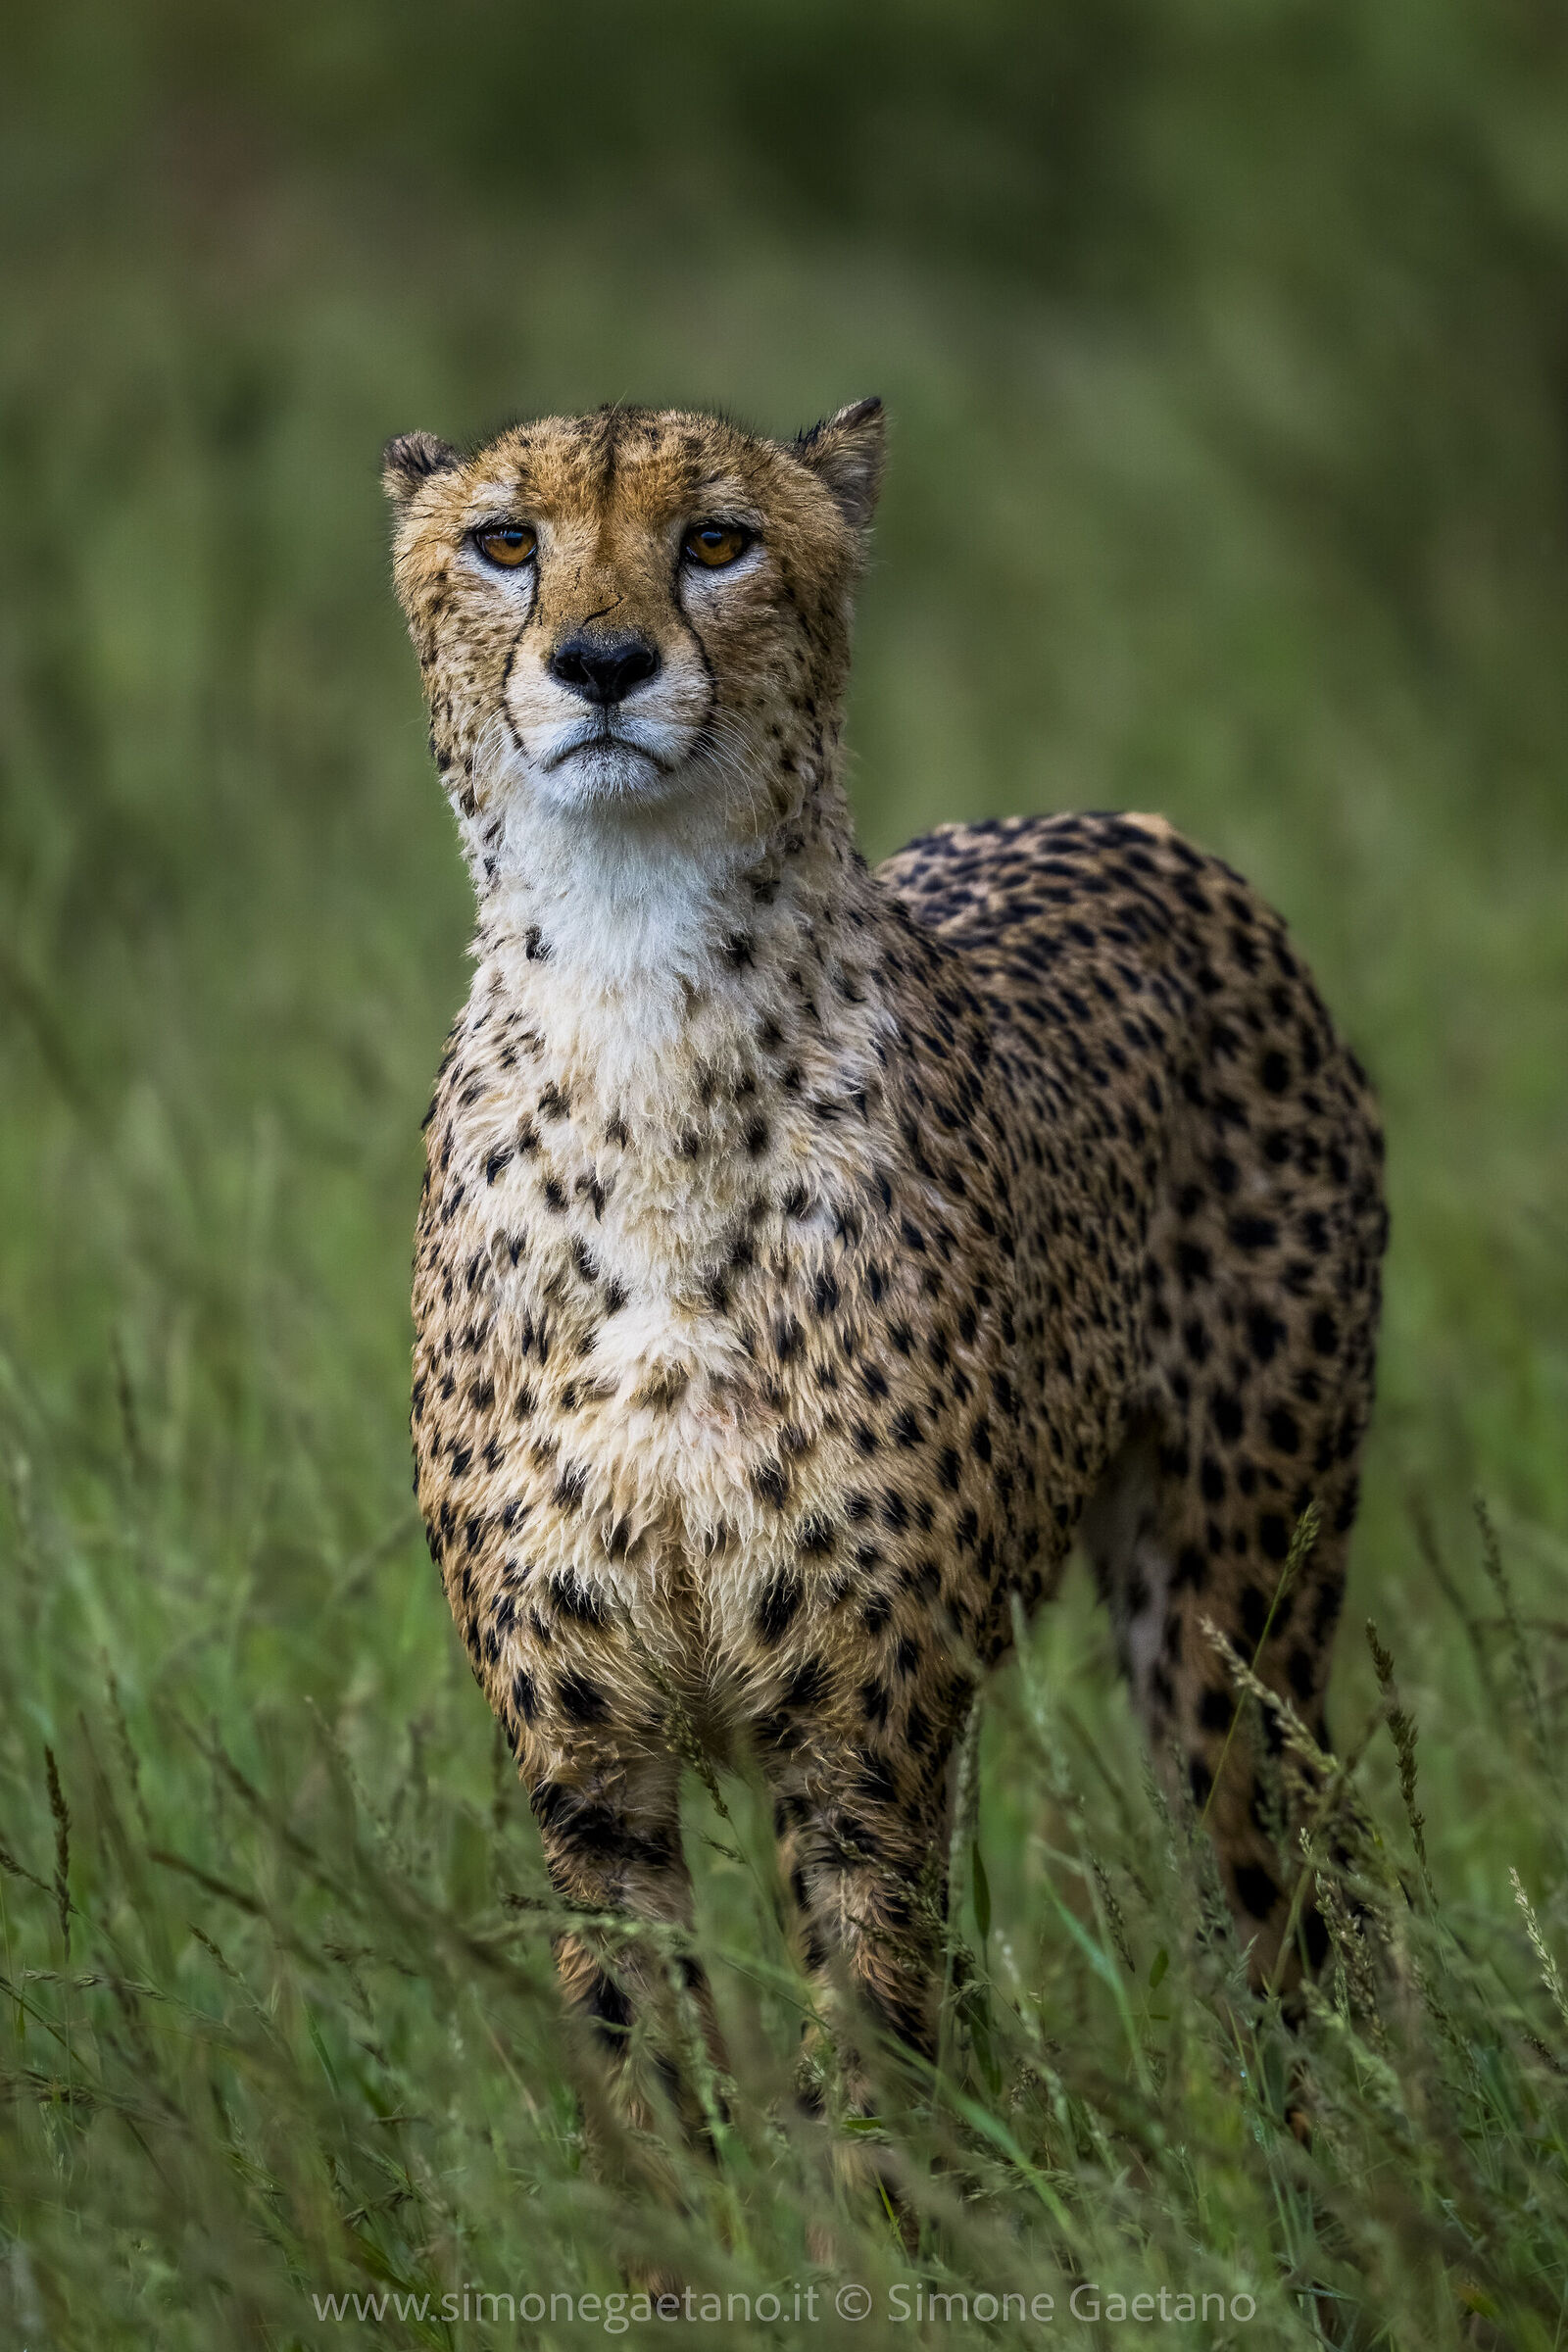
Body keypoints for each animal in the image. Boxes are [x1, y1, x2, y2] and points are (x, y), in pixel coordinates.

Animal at [382, 396, 1386, 2147]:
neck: (637, 1004)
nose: (601, 661)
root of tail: (1128, 826)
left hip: (1234, 1607)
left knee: (1284, 1910)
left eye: (717, 540)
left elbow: (872, 2058)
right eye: (506, 541)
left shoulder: (862, 1733)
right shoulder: (588, 1756)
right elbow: (642, 2068)